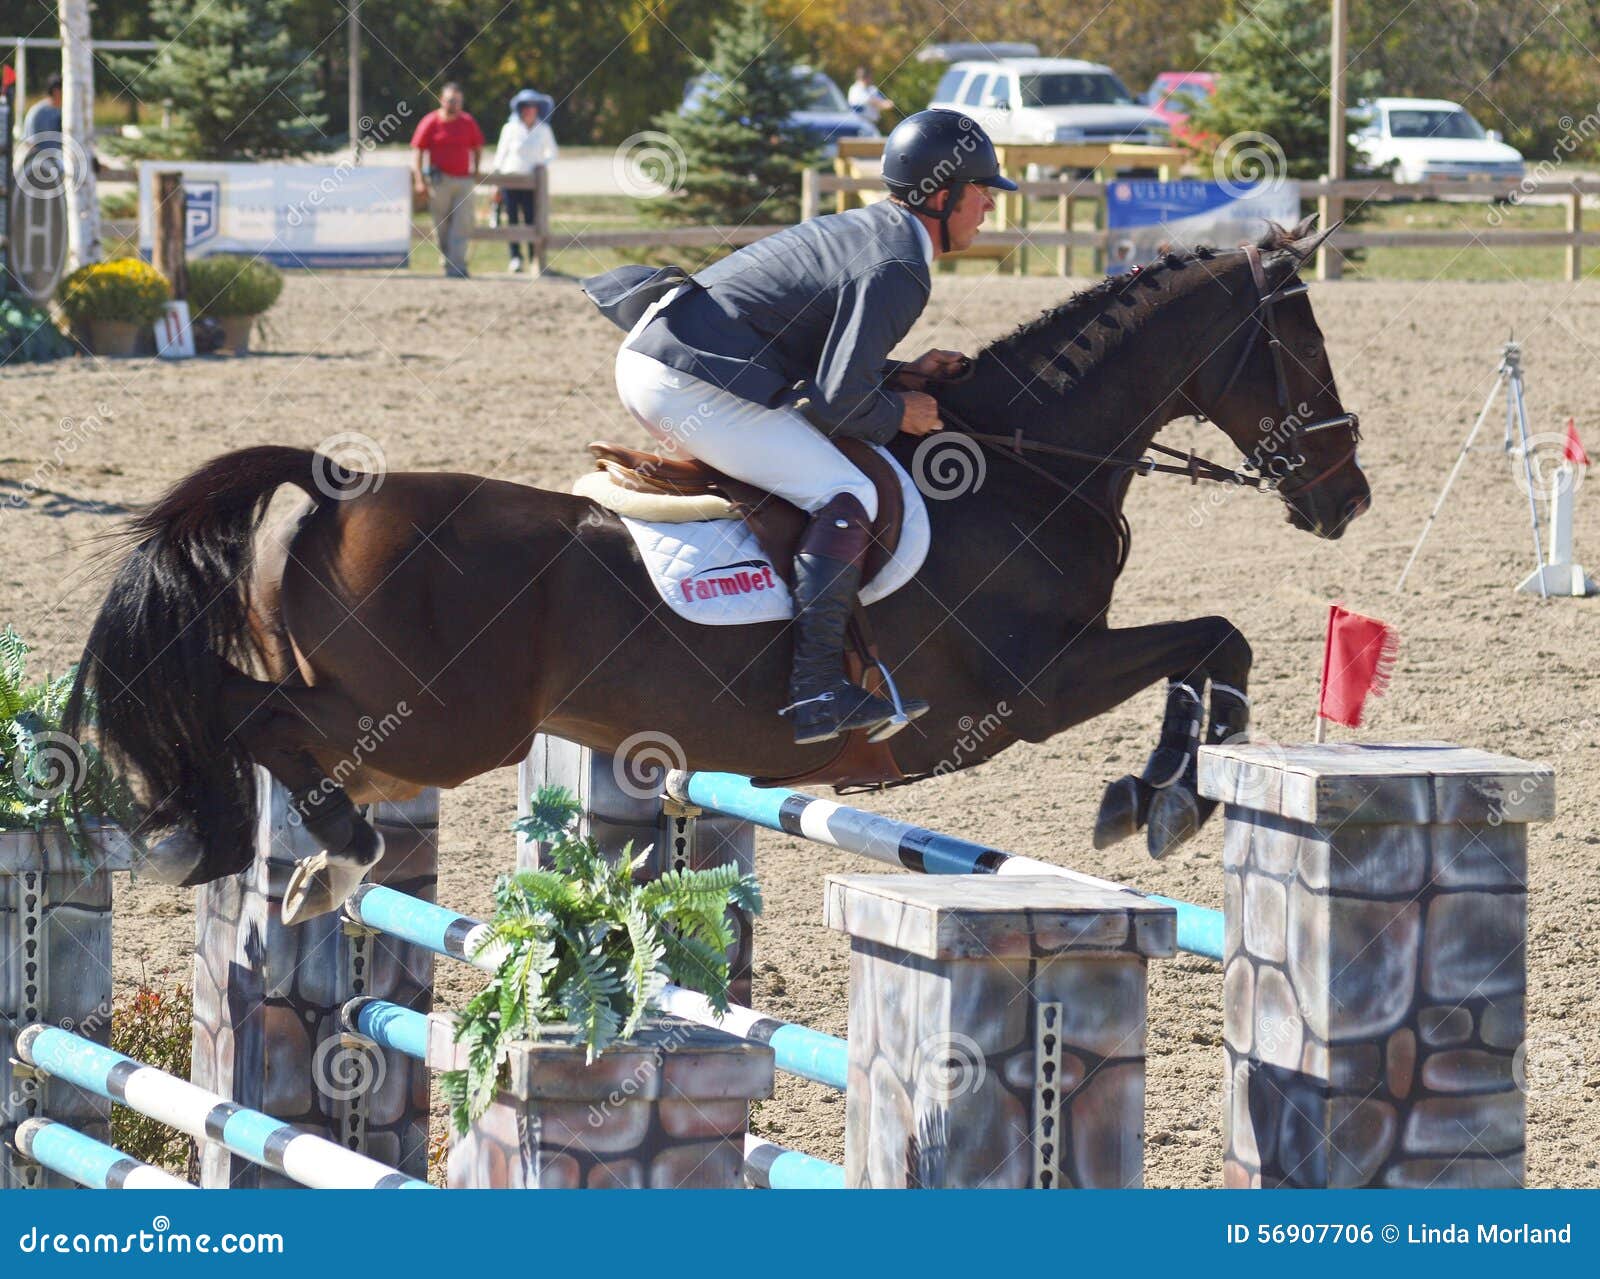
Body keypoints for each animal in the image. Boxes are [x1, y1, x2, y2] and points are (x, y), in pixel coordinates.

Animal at [68, 217, 1369, 922]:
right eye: (1300, 343)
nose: (1345, 496)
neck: (1019, 465)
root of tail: (339, 481)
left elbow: (1210, 646)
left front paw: (1154, 799)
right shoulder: (1032, 689)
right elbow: (1215, 639)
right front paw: (1159, 804)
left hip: (408, 721)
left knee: (258, 720)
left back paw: (245, 843)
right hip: (436, 724)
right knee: (249, 717)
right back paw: (297, 849)